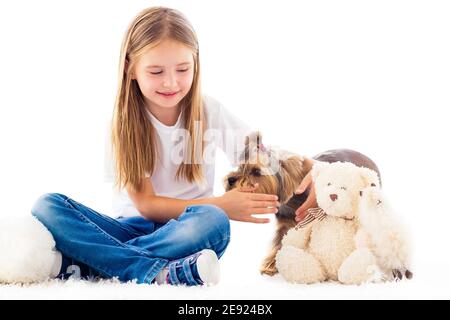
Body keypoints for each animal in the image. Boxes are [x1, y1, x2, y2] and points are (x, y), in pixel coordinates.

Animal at [224, 131, 380, 276]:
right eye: (240, 167)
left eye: (256, 172)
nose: (231, 180)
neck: (290, 202)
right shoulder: (286, 223)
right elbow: (282, 240)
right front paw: (272, 263)